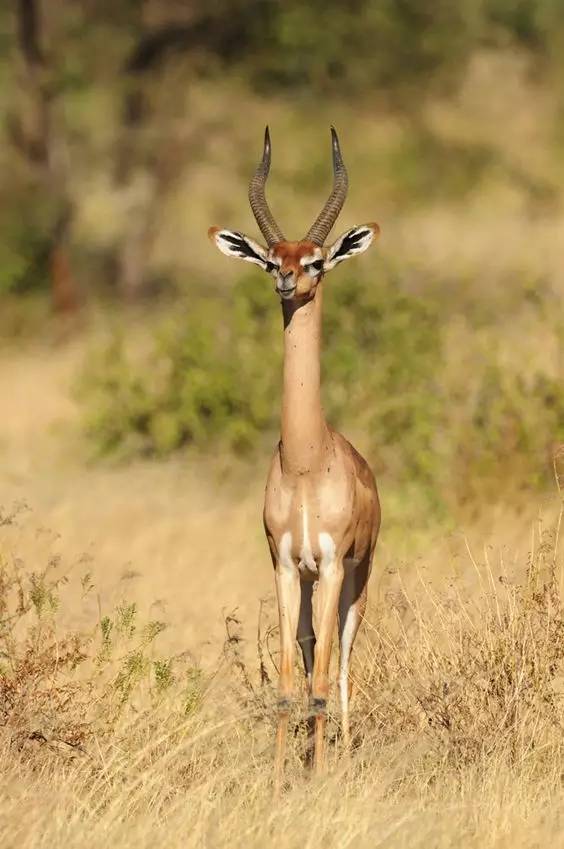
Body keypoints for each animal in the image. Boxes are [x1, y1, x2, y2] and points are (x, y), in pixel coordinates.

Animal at [209, 126, 382, 788]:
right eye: (271, 258)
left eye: (315, 260)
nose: (287, 283)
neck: (307, 459)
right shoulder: (284, 564)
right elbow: (288, 678)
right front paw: (286, 773)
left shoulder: (332, 564)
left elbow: (323, 673)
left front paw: (321, 772)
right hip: (309, 580)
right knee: (310, 648)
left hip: (357, 575)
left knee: (343, 657)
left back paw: (345, 747)